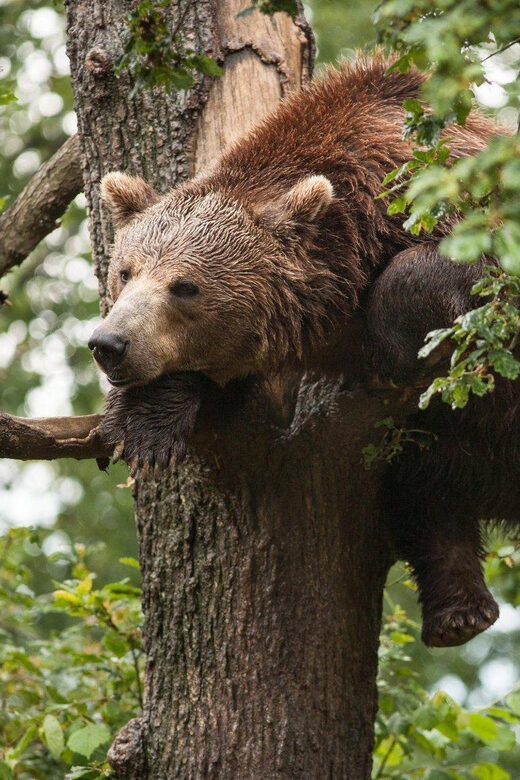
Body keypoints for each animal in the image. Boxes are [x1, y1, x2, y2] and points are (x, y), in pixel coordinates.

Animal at [89, 53, 513, 648]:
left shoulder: (450, 198)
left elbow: (452, 276)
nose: (110, 343)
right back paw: (459, 613)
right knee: (429, 494)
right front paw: (144, 421)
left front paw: (394, 347)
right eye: (126, 271)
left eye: (185, 286)